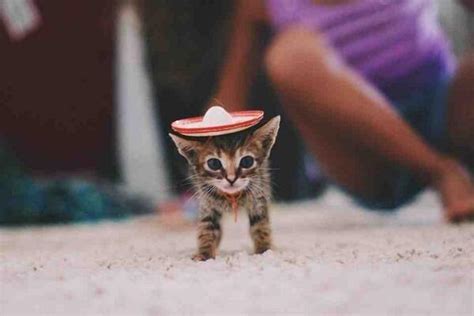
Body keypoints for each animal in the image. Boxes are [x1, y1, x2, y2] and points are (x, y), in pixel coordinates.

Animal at [170, 115, 282, 260]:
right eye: (214, 163)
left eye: (247, 161)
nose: (231, 178)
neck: (232, 196)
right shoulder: (207, 204)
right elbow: (206, 229)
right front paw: (204, 254)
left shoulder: (258, 198)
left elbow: (261, 226)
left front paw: (264, 251)